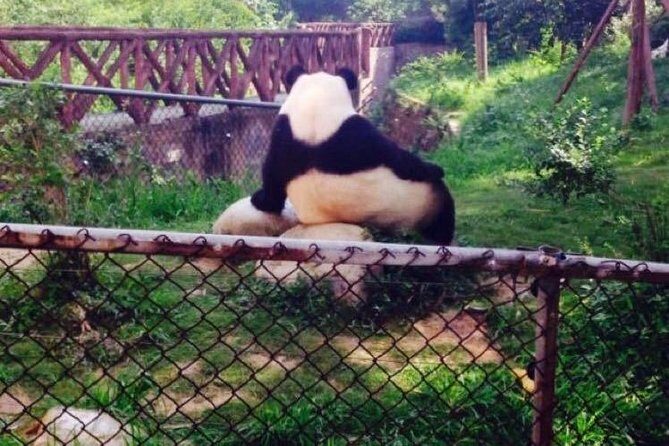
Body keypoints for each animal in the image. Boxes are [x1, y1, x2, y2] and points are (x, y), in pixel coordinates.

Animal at [250, 65, 455, 245]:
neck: (315, 104)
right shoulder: (360, 134)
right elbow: (403, 161)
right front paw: (436, 168)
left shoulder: (282, 137)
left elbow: (271, 179)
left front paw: (259, 199)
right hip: (419, 202)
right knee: (442, 209)